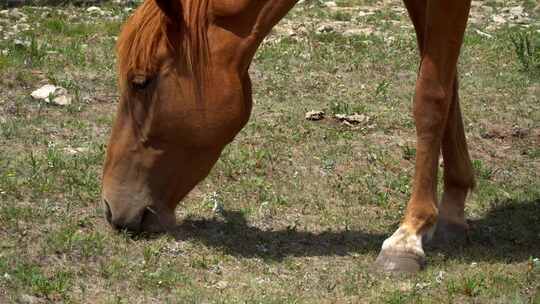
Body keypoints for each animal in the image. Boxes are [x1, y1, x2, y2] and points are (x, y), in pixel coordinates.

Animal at [101, 0, 472, 274]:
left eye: (140, 81)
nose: (109, 207)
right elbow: (448, 88)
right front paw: (454, 206)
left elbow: (430, 98)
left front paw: (409, 235)